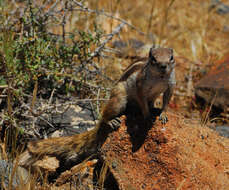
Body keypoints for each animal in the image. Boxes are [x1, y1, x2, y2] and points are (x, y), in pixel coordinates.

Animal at [20, 46, 175, 168]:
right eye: (153, 58)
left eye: (171, 58)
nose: (163, 66)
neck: (160, 77)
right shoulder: (140, 85)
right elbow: (142, 101)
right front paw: (147, 116)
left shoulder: (171, 85)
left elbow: (166, 100)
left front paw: (163, 114)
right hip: (119, 99)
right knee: (105, 114)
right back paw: (111, 120)